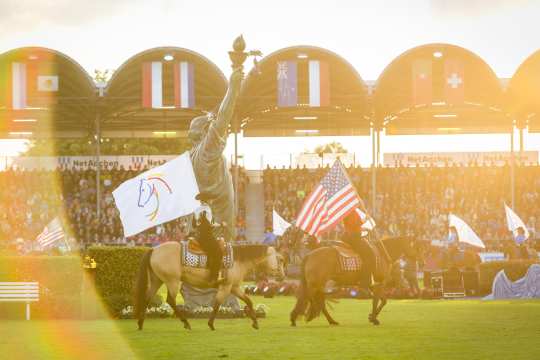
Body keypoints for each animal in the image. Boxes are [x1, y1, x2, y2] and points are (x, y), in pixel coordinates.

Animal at [134, 243, 284, 330]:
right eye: (280, 260)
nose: (282, 276)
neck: (237, 260)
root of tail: (154, 249)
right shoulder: (226, 287)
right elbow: (217, 304)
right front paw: (211, 324)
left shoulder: (234, 287)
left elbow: (248, 301)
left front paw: (255, 323)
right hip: (173, 281)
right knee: (170, 301)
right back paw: (186, 323)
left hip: (157, 280)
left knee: (147, 298)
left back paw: (141, 324)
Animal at [288, 236, 424, 326]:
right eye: (415, 246)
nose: (421, 260)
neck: (382, 253)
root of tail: (310, 254)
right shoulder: (379, 284)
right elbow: (377, 301)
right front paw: (374, 318)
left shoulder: (374, 285)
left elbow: (383, 300)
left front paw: (371, 316)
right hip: (317, 284)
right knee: (314, 300)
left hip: (318, 284)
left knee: (316, 300)